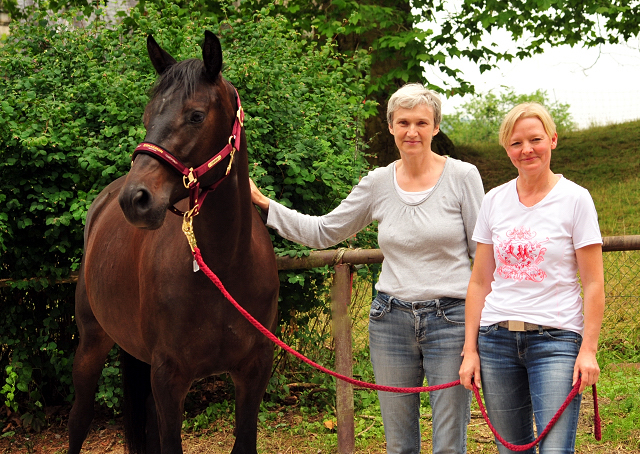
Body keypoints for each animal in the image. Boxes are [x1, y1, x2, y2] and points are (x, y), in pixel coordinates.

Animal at [68, 31, 280, 454]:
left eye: (196, 115)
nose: (135, 199)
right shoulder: (169, 379)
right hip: (92, 343)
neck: (225, 267)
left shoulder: (254, 372)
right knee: (78, 421)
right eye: (147, 117)